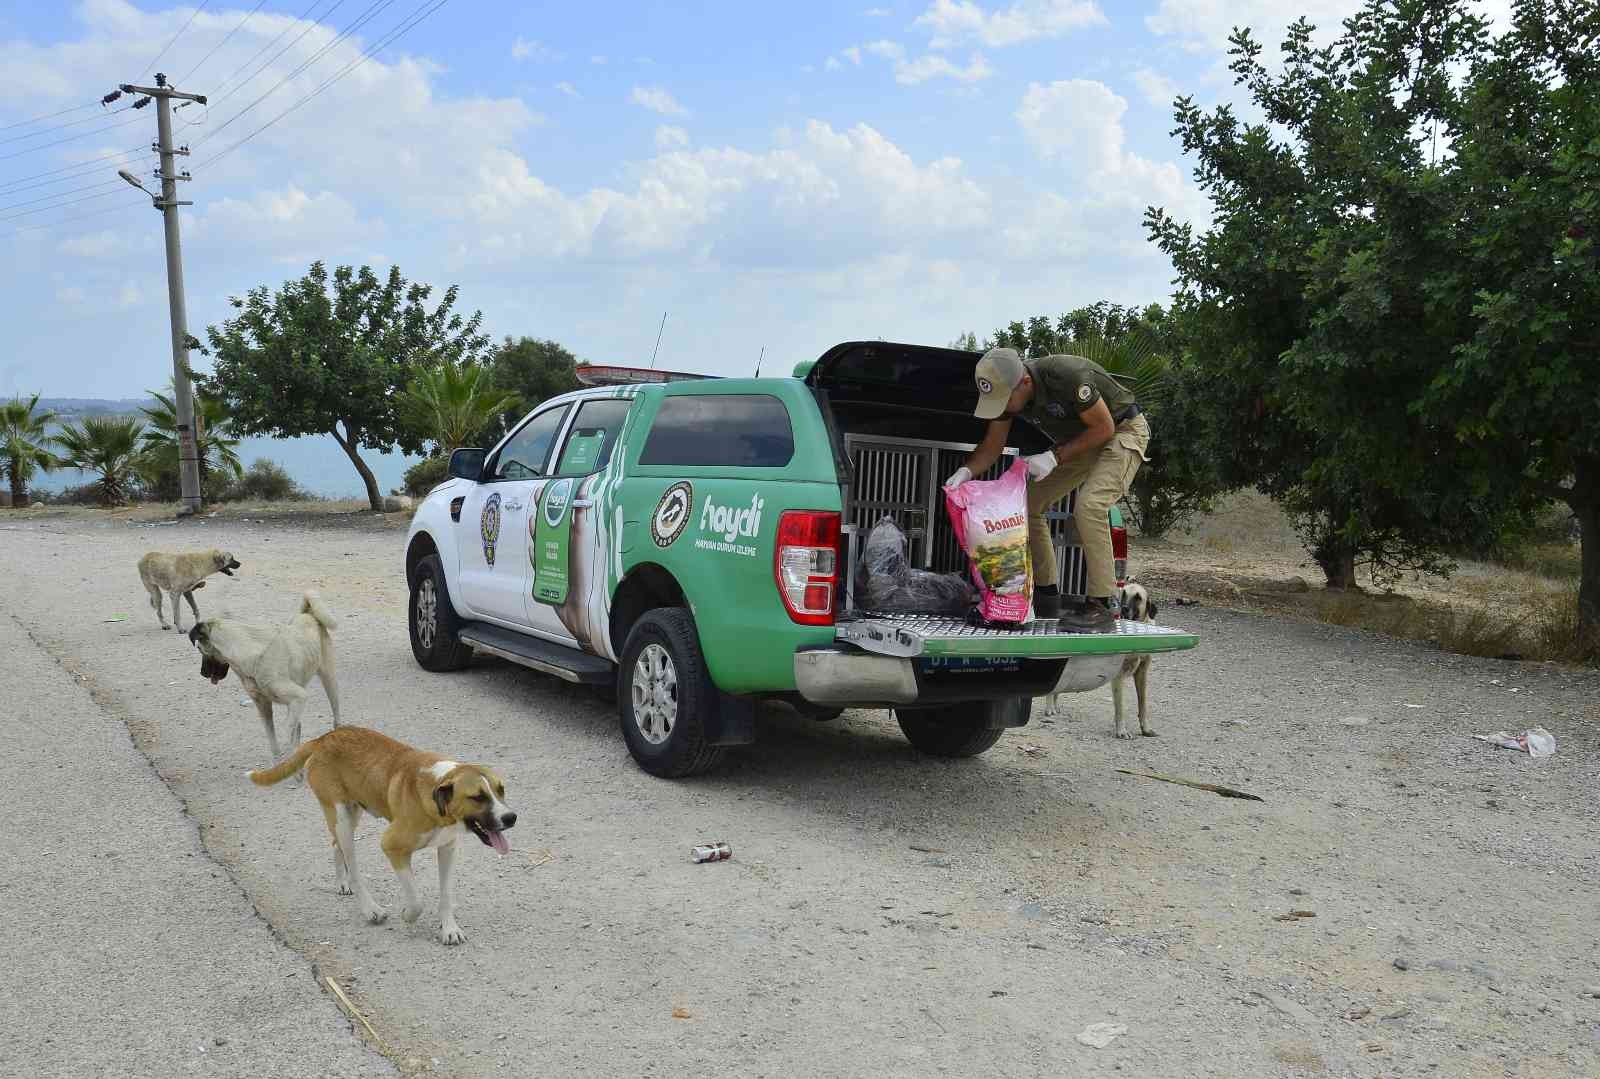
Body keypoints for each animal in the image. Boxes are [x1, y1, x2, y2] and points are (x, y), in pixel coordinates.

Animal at [188, 589, 342, 755]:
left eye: (199, 648)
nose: (202, 673)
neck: (248, 655)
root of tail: (308, 614)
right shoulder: (264, 707)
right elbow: (273, 743)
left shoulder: (299, 697)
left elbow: (287, 735)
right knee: (298, 727)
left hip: (329, 680)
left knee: (335, 719)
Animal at [248, 723, 518, 941]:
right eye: (477, 797)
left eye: (501, 790)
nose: (511, 818)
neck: (435, 795)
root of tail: (324, 737)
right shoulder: (391, 846)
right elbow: (416, 900)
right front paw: (408, 915)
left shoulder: (447, 848)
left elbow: (446, 894)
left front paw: (449, 929)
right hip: (342, 819)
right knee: (353, 867)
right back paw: (371, 909)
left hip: (351, 813)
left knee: (336, 846)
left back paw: (341, 882)